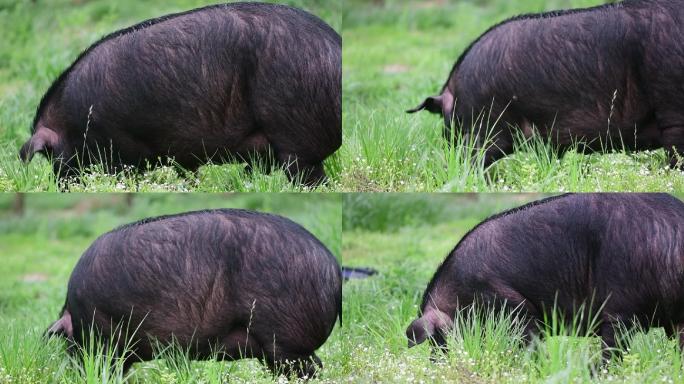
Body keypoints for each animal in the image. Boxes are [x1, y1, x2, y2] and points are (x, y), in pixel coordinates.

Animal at [20, 3, 340, 186]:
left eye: (53, 157)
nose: (60, 186)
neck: (75, 123)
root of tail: (334, 44)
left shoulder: (123, 149)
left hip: (296, 137)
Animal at [48, 208, 342, 376]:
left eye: (68, 343)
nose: (75, 373)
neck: (78, 314)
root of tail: (333, 267)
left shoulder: (106, 339)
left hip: (286, 339)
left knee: (310, 369)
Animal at [406, 195, 684, 360]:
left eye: (440, 338)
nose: (439, 363)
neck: (459, 295)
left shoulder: (513, 307)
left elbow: (530, 342)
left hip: (619, 310)